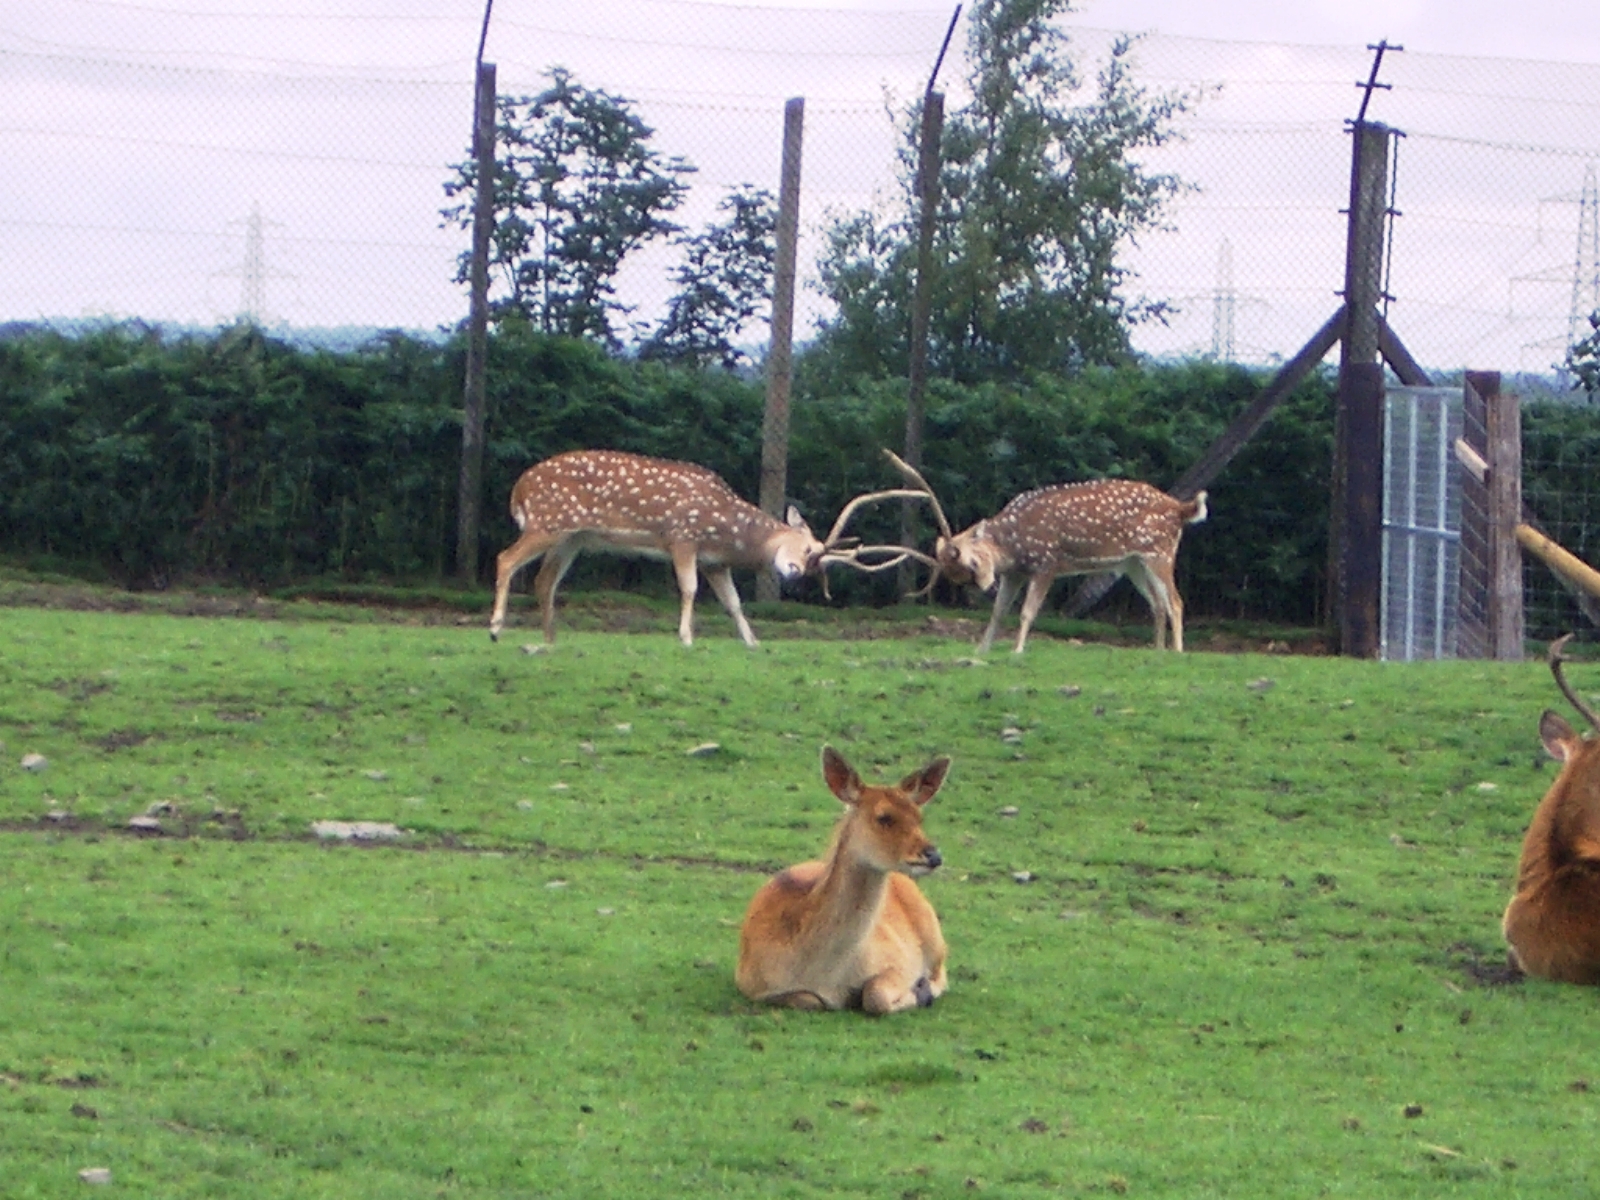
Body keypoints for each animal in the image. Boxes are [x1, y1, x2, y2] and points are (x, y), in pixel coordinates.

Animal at [488, 449, 928, 647]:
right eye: (807, 548)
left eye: (816, 560)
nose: (794, 573)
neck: (725, 530)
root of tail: (518, 490)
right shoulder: (683, 537)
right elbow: (689, 589)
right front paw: (685, 636)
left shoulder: (716, 562)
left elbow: (733, 602)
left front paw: (752, 642)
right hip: (549, 521)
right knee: (505, 558)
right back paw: (495, 628)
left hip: (572, 537)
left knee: (544, 581)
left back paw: (550, 639)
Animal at [736, 746, 950, 1014]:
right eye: (884, 817)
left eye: (919, 817)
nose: (934, 855)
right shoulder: (751, 984)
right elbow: (809, 1000)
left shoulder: (898, 960)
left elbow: (875, 996)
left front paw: (919, 992)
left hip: (934, 937)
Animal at [884, 450, 1207, 654]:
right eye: (959, 573)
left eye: (970, 562)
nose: (983, 586)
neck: (1012, 548)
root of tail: (1181, 509)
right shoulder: (1015, 573)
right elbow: (999, 612)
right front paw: (981, 649)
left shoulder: (1046, 563)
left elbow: (1028, 611)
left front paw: (1017, 650)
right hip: (1133, 563)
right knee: (1158, 603)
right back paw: (1158, 651)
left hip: (1159, 551)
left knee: (1176, 601)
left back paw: (1177, 652)